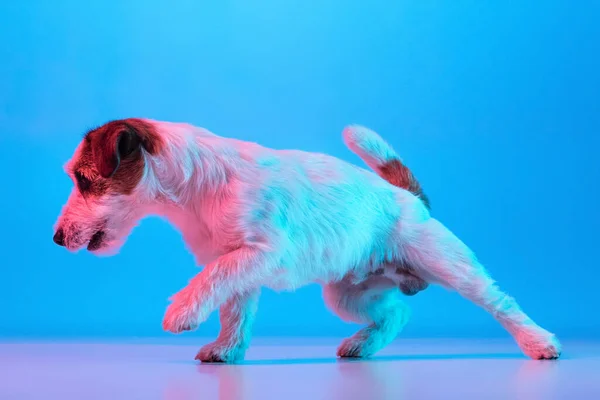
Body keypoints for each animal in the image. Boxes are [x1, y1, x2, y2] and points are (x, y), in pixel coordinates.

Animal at [54, 119, 560, 362]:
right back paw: (361, 346)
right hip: (347, 295)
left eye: (83, 179)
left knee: (501, 303)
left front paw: (182, 312)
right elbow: (233, 309)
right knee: (397, 313)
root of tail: (405, 196)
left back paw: (539, 343)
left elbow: (211, 278)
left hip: (451, 266)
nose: (56, 238)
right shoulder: (241, 264)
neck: (196, 185)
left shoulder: (259, 252)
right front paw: (227, 350)